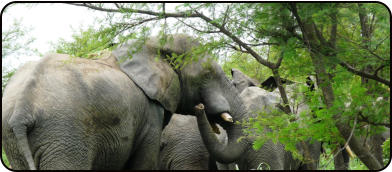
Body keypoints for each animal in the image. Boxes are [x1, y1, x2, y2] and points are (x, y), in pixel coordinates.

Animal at [1, 34, 250, 170]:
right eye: (207, 75)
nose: (201, 107)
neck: (152, 43)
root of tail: (22, 110)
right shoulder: (150, 115)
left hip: (18, 140)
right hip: (64, 135)